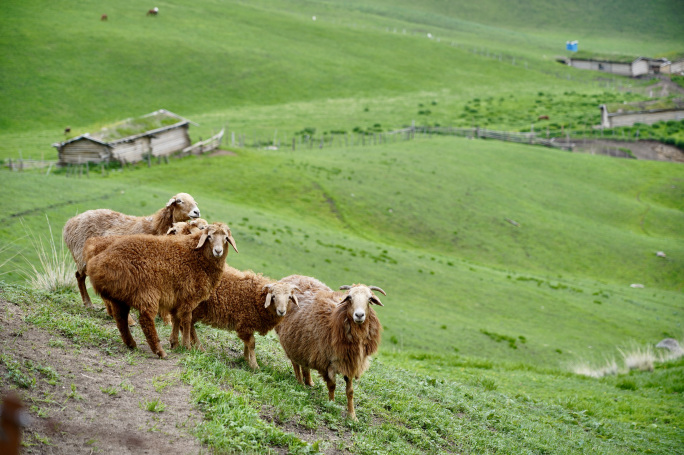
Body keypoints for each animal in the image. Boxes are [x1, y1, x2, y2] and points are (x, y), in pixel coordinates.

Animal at [61, 192, 202, 320]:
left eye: (194, 201)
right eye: (179, 201)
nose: (197, 212)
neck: (156, 228)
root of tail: (70, 222)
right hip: (81, 257)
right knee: (79, 277)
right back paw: (89, 303)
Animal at [84, 224, 238, 360]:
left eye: (225, 238)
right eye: (209, 236)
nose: (218, 251)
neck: (196, 256)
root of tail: (97, 266)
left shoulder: (177, 299)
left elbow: (176, 319)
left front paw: (175, 343)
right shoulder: (188, 297)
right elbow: (186, 320)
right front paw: (187, 346)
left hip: (120, 297)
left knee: (121, 319)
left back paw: (131, 344)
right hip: (146, 292)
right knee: (145, 319)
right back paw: (159, 351)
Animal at [276, 274, 388, 420]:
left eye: (369, 299)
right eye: (349, 298)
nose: (359, 315)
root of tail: (291, 277)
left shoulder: (349, 361)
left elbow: (350, 391)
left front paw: (352, 415)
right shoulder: (326, 361)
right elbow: (332, 386)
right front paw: (331, 405)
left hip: (303, 343)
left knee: (304, 363)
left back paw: (309, 382)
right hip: (291, 341)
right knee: (295, 363)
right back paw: (301, 383)